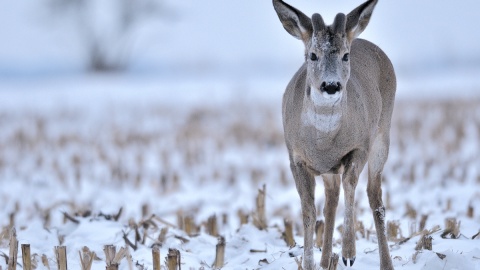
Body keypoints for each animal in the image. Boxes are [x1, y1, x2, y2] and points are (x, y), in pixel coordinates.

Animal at [272, 0, 396, 268]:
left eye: (345, 55)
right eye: (313, 55)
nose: (331, 85)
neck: (324, 142)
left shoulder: (360, 146)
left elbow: (351, 184)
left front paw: (349, 252)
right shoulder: (296, 158)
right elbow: (309, 211)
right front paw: (309, 263)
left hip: (382, 135)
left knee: (375, 197)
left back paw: (384, 263)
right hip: (329, 169)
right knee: (331, 199)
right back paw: (325, 259)